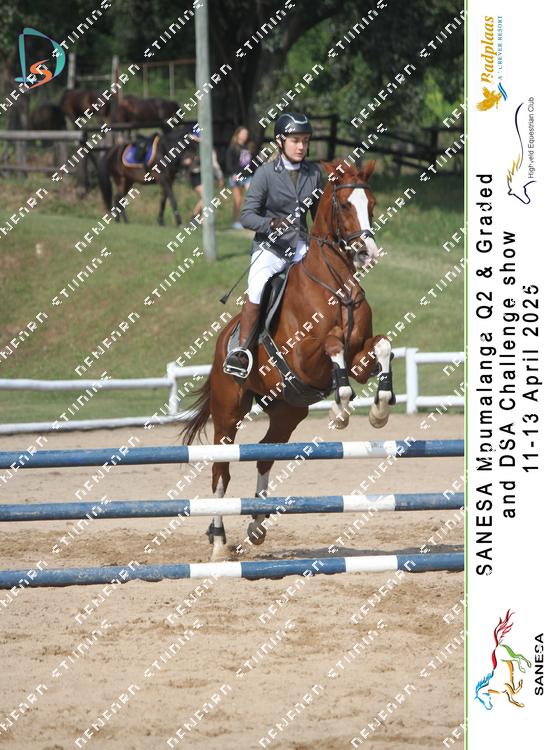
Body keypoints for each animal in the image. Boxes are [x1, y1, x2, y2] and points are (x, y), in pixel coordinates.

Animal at [180, 159, 395, 560]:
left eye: (371, 204)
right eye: (346, 205)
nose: (368, 253)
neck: (336, 287)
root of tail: (223, 339)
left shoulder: (359, 356)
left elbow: (382, 346)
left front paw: (380, 409)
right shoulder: (304, 356)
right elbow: (332, 347)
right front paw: (341, 409)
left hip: (287, 412)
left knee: (264, 455)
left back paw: (256, 525)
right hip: (228, 412)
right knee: (222, 470)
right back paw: (218, 542)